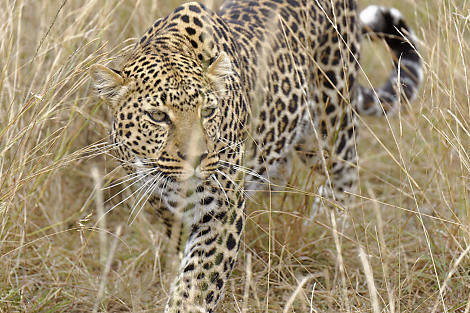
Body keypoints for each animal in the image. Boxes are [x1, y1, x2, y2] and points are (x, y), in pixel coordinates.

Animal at [90, 1, 420, 310]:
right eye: (158, 116)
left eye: (208, 112)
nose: (197, 158)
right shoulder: (163, 204)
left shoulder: (222, 211)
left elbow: (197, 283)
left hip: (328, 119)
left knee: (345, 169)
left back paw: (328, 227)